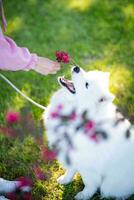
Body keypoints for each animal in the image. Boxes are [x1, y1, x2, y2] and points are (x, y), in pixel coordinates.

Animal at [43, 66, 133, 199]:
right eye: (87, 73)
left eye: (86, 84)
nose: (76, 68)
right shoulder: (71, 154)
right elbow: (70, 170)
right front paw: (65, 180)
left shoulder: (89, 166)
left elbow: (89, 183)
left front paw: (84, 195)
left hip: (110, 186)